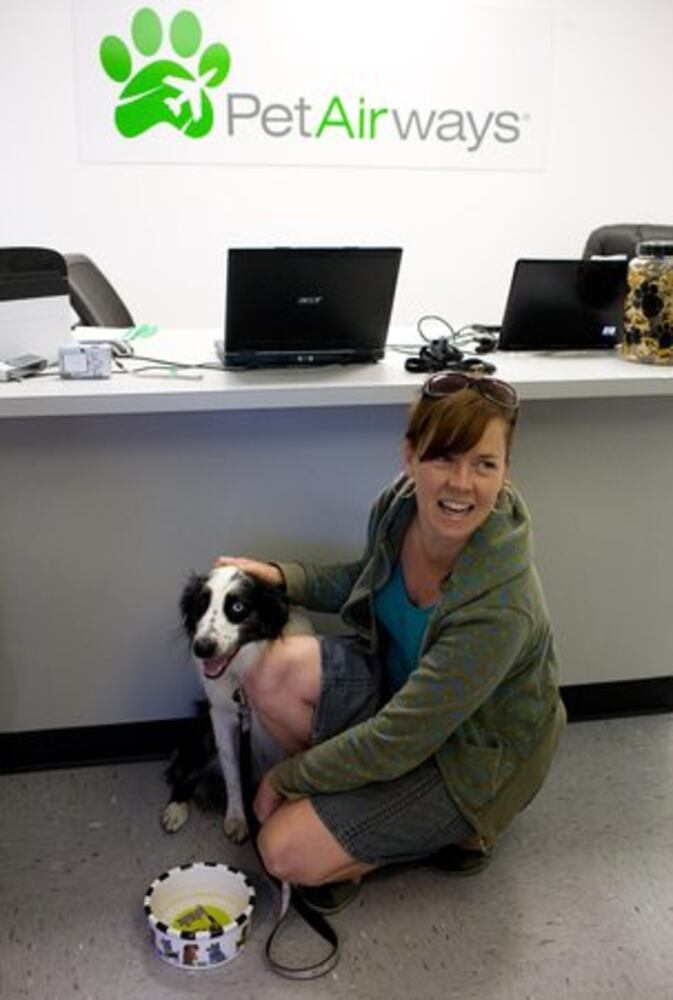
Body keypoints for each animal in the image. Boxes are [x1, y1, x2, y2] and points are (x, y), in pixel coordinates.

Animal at [161, 565, 308, 843]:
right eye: (201, 604)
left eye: (237, 607)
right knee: (185, 773)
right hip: (203, 734)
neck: (241, 677)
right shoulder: (220, 717)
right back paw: (175, 808)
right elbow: (232, 772)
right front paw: (238, 818)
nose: (202, 648)